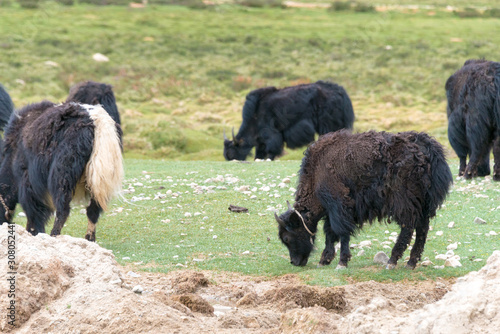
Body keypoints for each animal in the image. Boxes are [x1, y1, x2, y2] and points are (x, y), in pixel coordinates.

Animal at [274, 130, 454, 268]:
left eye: (287, 238)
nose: (295, 262)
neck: (316, 173)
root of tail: (426, 148)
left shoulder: (339, 205)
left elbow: (341, 232)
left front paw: (341, 262)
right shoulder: (333, 211)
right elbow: (330, 233)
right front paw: (324, 260)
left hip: (404, 201)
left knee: (408, 227)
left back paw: (392, 261)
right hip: (423, 203)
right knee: (422, 228)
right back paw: (411, 263)